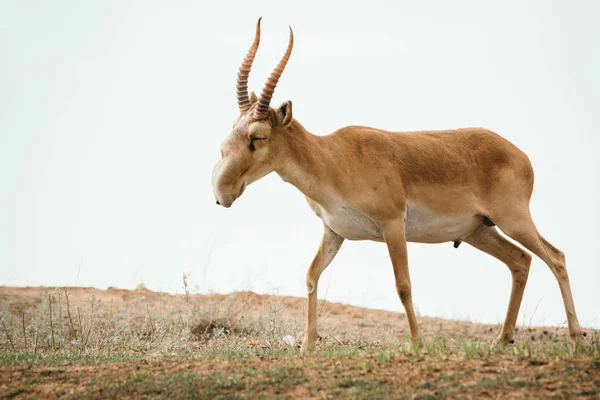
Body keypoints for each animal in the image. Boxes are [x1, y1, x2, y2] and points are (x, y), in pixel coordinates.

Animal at [212, 18, 584, 350]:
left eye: (257, 136)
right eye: (234, 128)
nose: (221, 194)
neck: (334, 157)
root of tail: (520, 155)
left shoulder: (392, 225)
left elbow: (403, 284)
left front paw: (417, 344)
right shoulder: (334, 232)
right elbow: (311, 276)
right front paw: (307, 346)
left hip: (513, 220)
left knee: (556, 257)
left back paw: (576, 338)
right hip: (478, 231)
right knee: (521, 261)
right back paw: (501, 340)